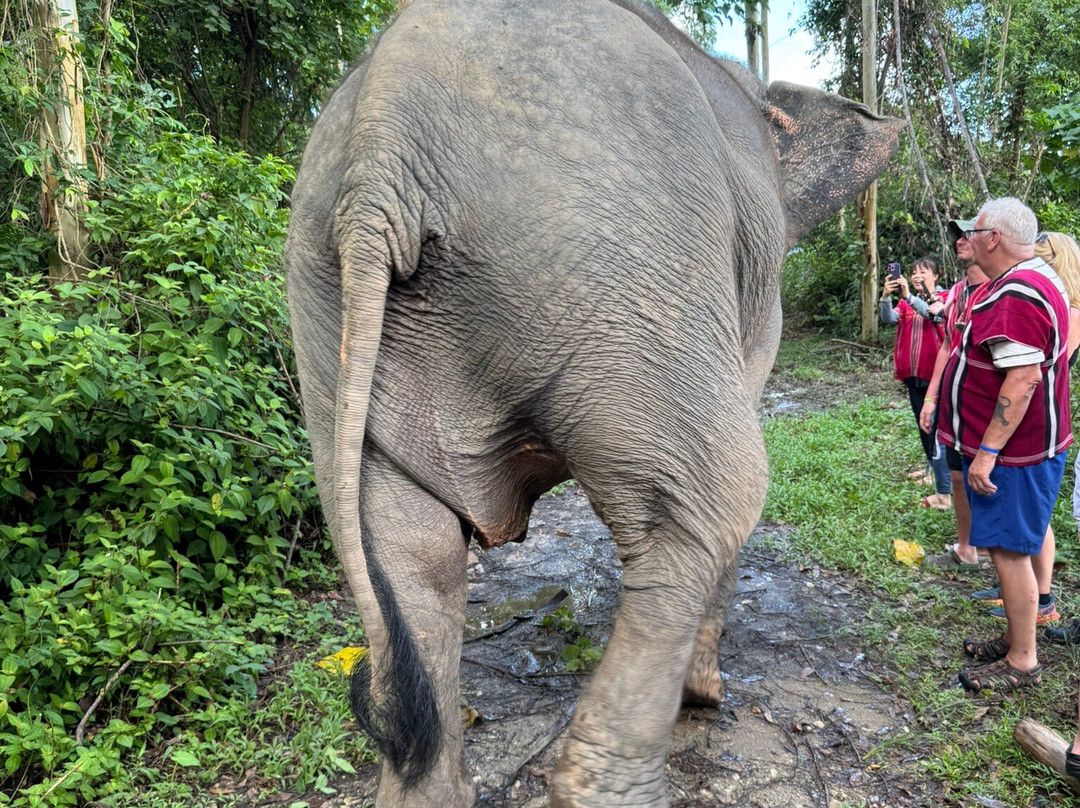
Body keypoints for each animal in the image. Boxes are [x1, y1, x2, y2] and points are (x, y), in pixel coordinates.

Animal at [284, 0, 901, 805]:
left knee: (411, 551)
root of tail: (383, 148)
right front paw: (707, 696)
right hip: (621, 266)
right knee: (710, 504)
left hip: (328, 313)